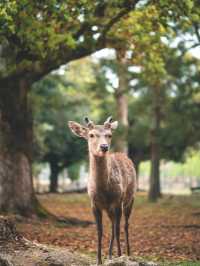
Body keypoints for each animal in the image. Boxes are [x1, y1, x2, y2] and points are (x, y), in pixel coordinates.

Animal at [68, 116, 137, 264]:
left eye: (109, 135)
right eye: (91, 135)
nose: (104, 147)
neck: (104, 190)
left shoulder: (117, 201)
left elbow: (117, 229)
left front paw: (120, 256)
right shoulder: (94, 203)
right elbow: (99, 231)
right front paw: (98, 260)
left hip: (130, 199)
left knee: (125, 225)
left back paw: (127, 253)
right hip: (109, 209)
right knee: (112, 225)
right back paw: (110, 255)